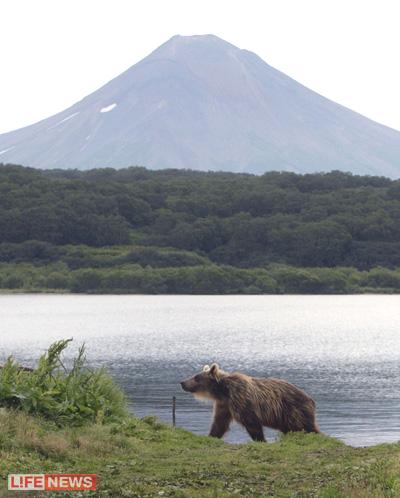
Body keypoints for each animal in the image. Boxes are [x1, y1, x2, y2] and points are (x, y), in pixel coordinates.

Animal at [180, 364, 320, 442]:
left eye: (196, 377)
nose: (182, 382)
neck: (223, 391)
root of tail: (310, 398)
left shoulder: (240, 400)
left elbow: (252, 423)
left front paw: (261, 440)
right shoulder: (224, 404)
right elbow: (219, 424)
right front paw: (212, 436)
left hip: (293, 410)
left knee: (307, 427)